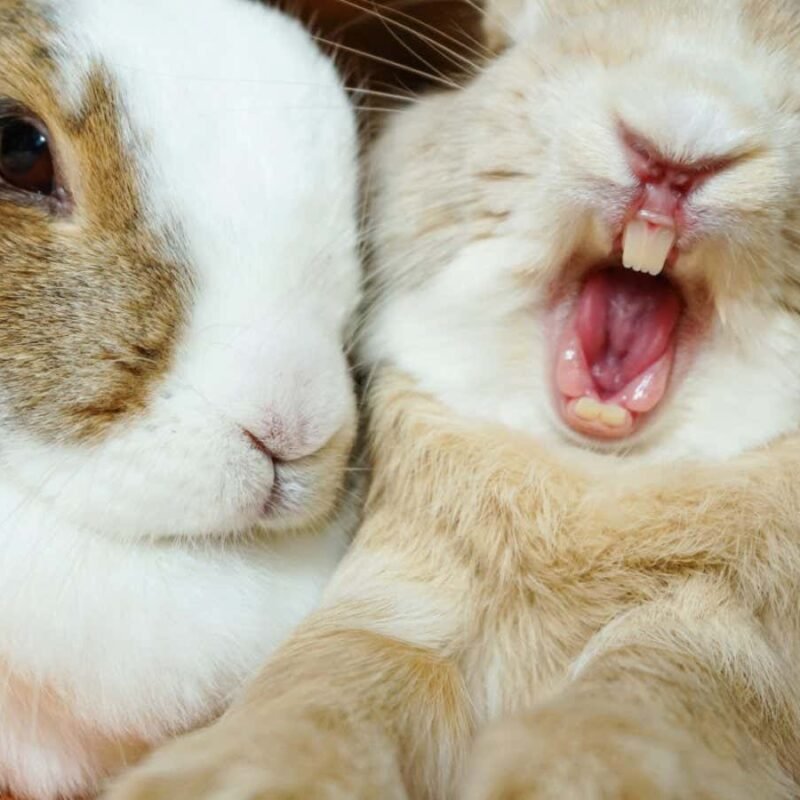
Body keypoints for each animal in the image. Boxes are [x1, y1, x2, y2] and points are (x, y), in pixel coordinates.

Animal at [102, 1, 800, 799]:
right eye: (503, 48)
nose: (676, 150)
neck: (592, 474)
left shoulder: (732, 646)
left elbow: (642, 697)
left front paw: (565, 776)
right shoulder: (394, 603)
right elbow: (341, 680)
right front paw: (238, 774)